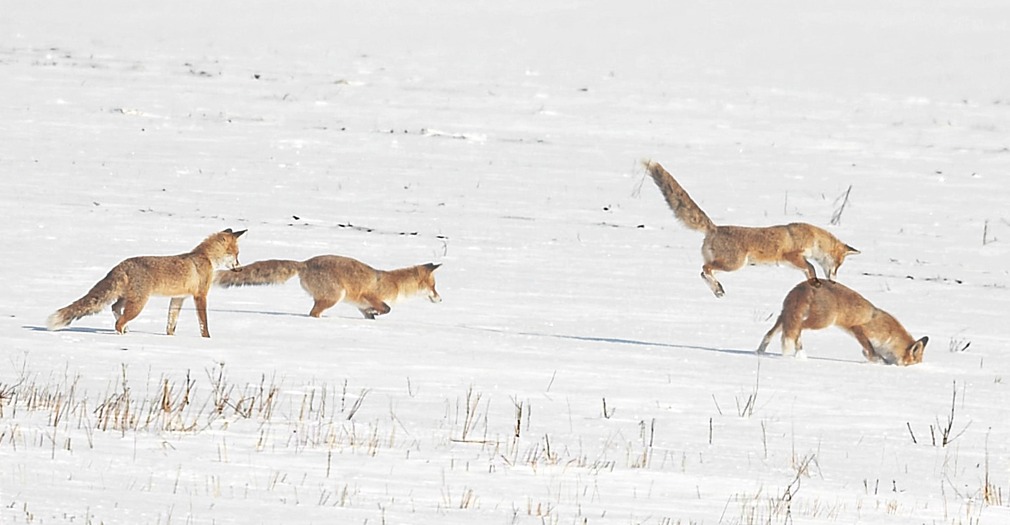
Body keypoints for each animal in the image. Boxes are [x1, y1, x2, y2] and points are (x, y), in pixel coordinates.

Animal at [47, 228, 246, 337]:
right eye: (236, 254)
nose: (240, 268)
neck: (206, 258)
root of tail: (122, 264)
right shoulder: (200, 296)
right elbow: (203, 323)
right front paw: (207, 339)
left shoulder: (178, 298)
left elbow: (171, 323)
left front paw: (170, 337)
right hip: (139, 303)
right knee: (118, 321)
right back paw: (121, 334)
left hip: (128, 298)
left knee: (114, 308)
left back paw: (125, 329)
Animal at [214, 255, 441, 319]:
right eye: (434, 286)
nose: (441, 299)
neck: (396, 284)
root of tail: (304, 263)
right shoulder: (370, 295)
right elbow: (386, 308)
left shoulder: (362, 307)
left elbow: (372, 315)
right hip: (334, 297)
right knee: (313, 313)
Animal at [643, 160, 859, 297]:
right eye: (838, 265)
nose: (834, 282)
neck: (813, 238)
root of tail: (714, 228)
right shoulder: (792, 255)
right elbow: (812, 267)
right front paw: (816, 282)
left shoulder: (792, 262)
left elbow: (809, 272)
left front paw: (814, 284)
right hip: (734, 264)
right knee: (705, 269)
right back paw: (717, 288)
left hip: (727, 265)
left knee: (703, 272)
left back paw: (717, 289)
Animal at [757, 280, 928, 365]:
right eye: (912, 363)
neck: (891, 335)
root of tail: (804, 284)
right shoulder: (858, 328)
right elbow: (872, 351)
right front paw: (879, 361)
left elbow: (869, 352)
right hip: (823, 321)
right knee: (798, 329)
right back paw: (800, 353)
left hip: (785, 316)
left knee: (770, 333)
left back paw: (760, 352)